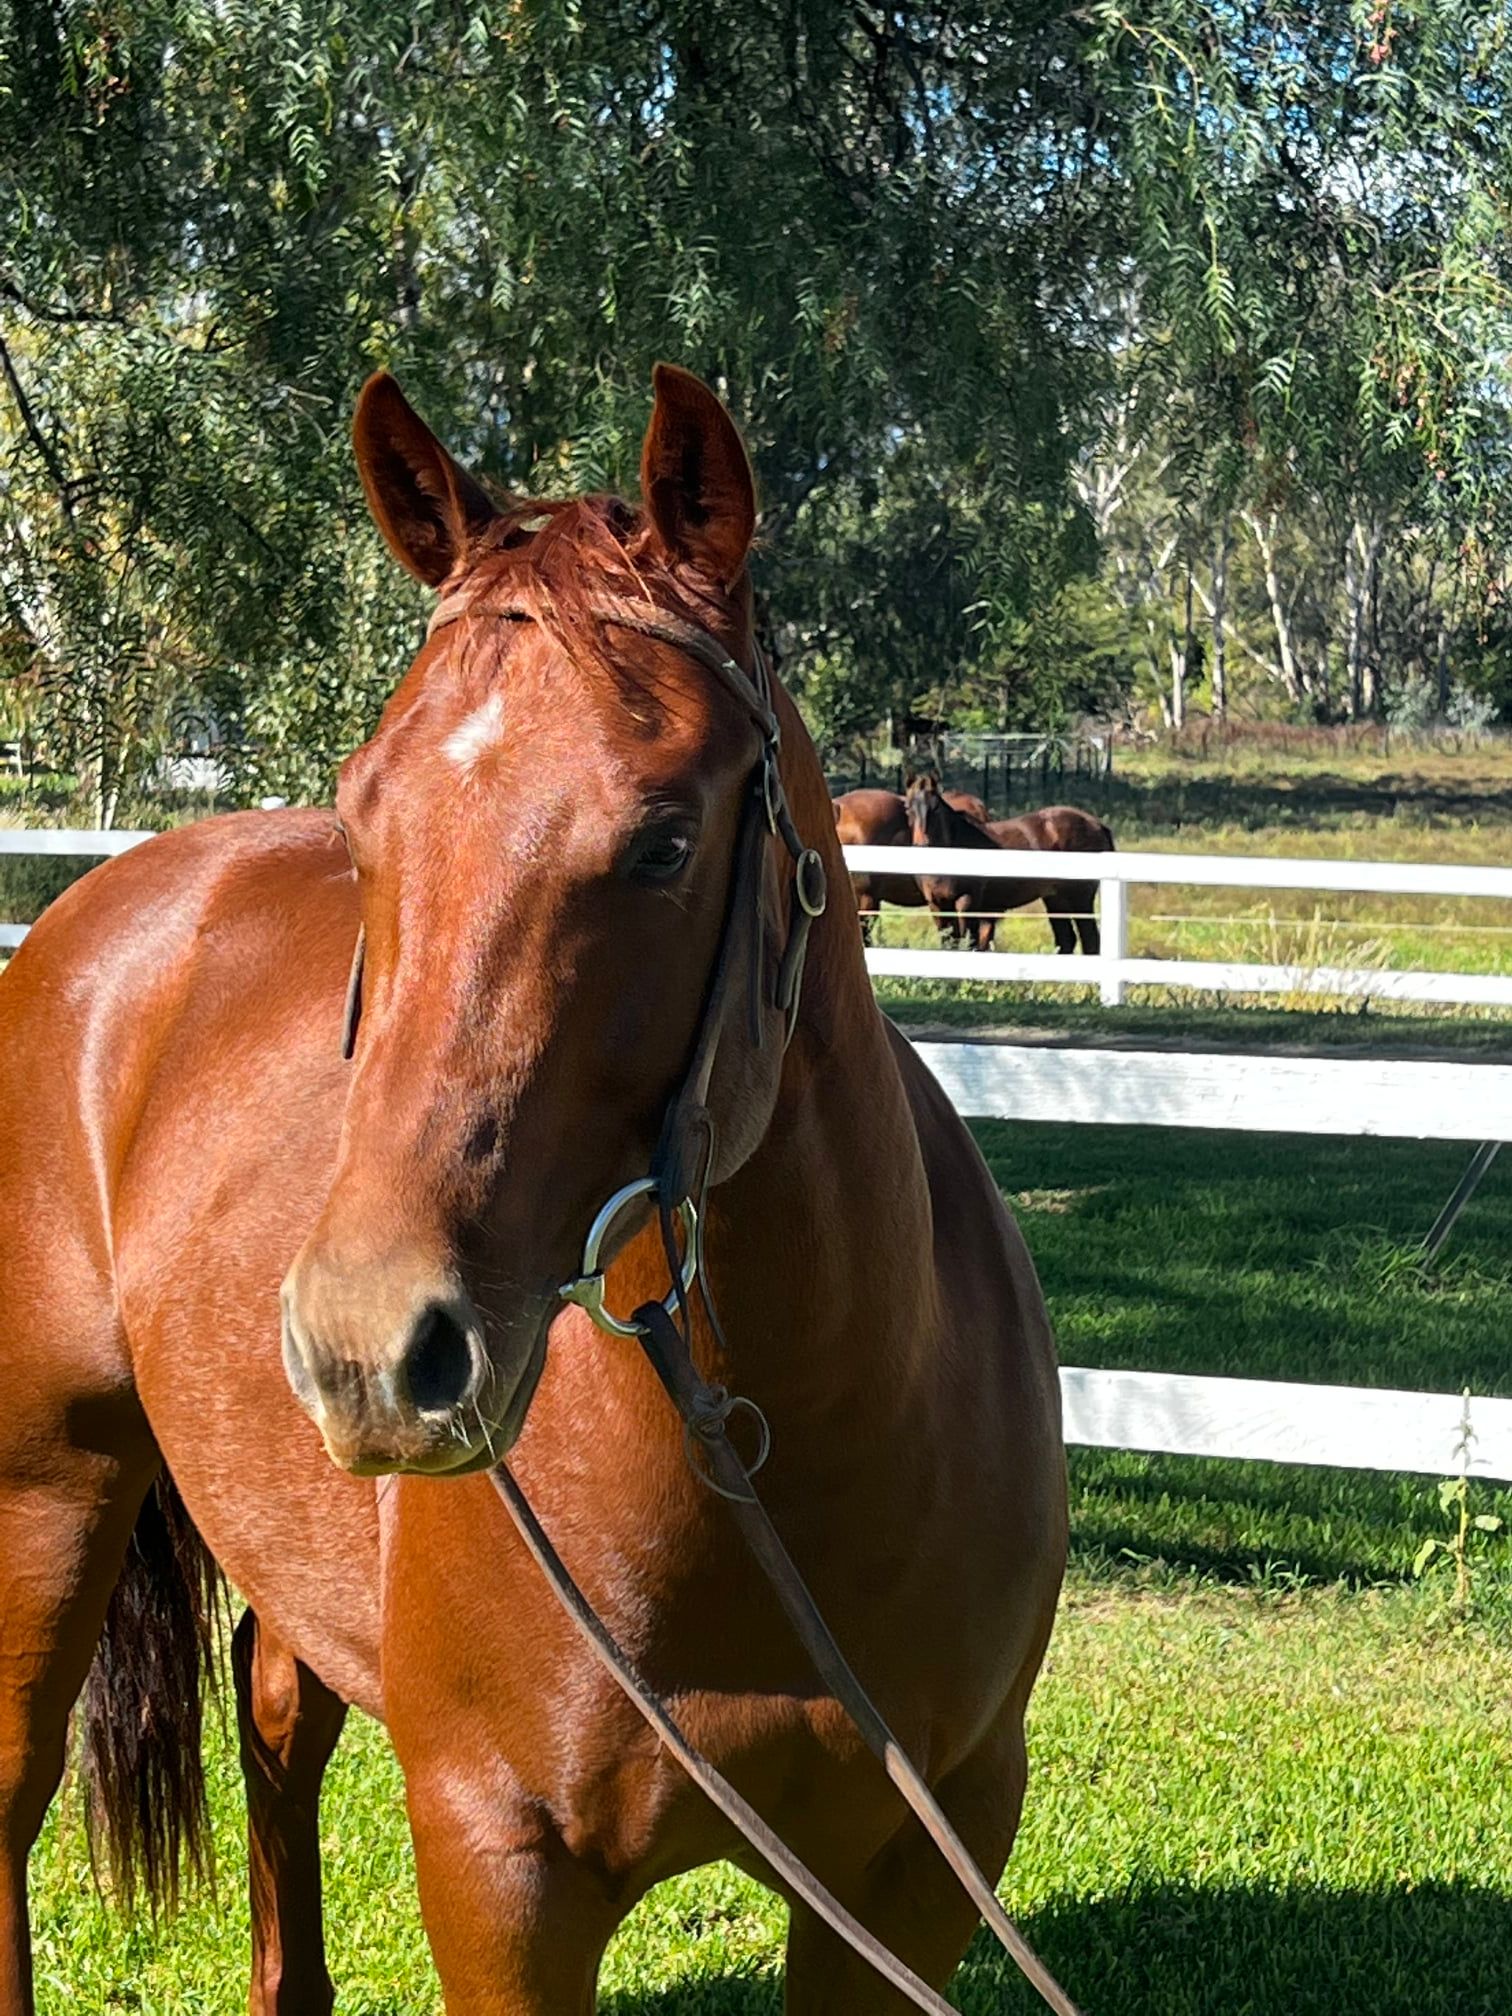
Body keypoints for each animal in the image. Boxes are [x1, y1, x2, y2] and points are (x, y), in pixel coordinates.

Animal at [904, 772, 1114, 954]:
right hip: (1056, 898)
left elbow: (970, 944)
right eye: (908, 808)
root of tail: (1097, 824)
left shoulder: (967, 902)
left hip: (1080, 899)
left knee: (1090, 941)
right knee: (1066, 940)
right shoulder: (937, 905)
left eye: (935, 808)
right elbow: (949, 944)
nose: (922, 844)